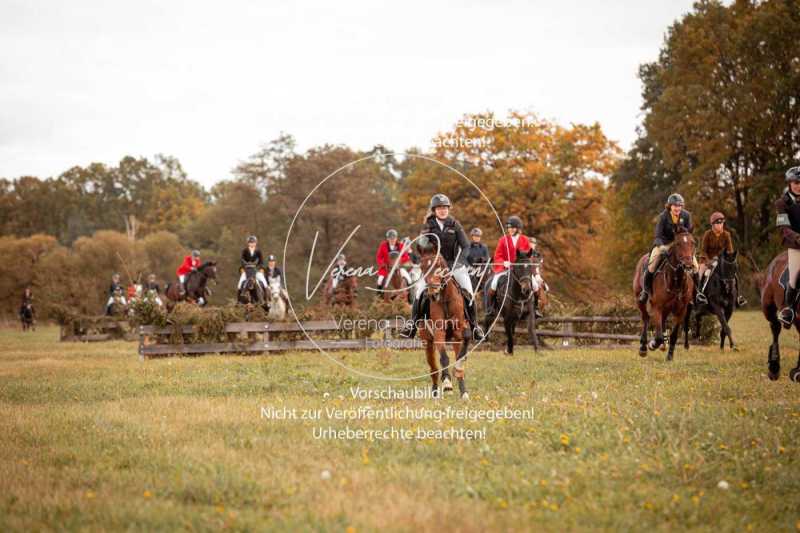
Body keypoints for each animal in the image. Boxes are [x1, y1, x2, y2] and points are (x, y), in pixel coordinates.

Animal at [418, 247, 468, 396]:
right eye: (422, 267)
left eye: (439, 265)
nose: (433, 293)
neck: (445, 298)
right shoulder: (438, 332)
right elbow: (444, 358)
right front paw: (447, 384)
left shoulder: (458, 334)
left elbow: (459, 358)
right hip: (427, 342)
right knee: (434, 369)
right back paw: (435, 392)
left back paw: (463, 392)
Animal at [636, 230, 696, 362]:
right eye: (677, 243)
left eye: (693, 242)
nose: (688, 265)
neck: (676, 281)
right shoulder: (657, 307)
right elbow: (657, 336)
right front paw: (652, 344)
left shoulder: (681, 311)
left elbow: (674, 335)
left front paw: (670, 356)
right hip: (641, 302)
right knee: (645, 319)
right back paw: (643, 348)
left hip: (667, 309)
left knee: (662, 321)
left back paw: (663, 345)